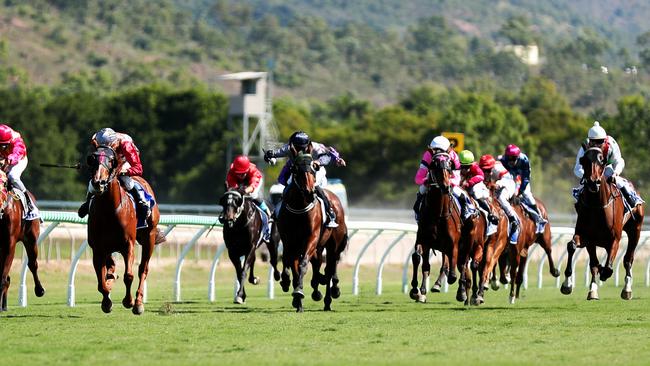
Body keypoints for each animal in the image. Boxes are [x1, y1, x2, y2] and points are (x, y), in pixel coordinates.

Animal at [86, 146, 163, 314]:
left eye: (111, 160)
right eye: (92, 159)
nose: (98, 183)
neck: (109, 210)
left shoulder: (128, 245)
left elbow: (129, 275)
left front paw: (129, 301)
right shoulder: (98, 248)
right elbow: (101, 282)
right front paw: (106, 302)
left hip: (149, 237)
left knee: (143, 269)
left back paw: (139, 302)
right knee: (111, 267)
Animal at [278, 150, 350, 314]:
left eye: (314, 169)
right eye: (296, 170)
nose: (309, 192)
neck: (299, 208)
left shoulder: (311, 238)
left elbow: (303, 264)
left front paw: (299, 292)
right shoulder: (290, 242)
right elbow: (293, 266)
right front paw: (297, 298)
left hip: (333, 244)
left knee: (330, 267)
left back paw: (330, 296)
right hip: (318, 247)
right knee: (318, 266)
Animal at [408, 152, 464, 304]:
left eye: (449, 166)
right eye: (434, 165)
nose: (445, 186)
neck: (438, 214)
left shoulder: (453, 242)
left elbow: (452, 268)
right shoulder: (424, 240)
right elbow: (421, 261)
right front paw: (418, 291)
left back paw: (459, 292)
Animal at [556, 147, 644, 300]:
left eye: (602, 160)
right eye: (583, 160)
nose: (593, 182)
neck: (597, 206)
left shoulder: (615, 238)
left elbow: (608, 266)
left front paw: (604, 273)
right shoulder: (587, 238)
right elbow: (574, 248)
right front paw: (569, 285)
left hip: (635, 230)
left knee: (628, 259)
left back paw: (626, 289)